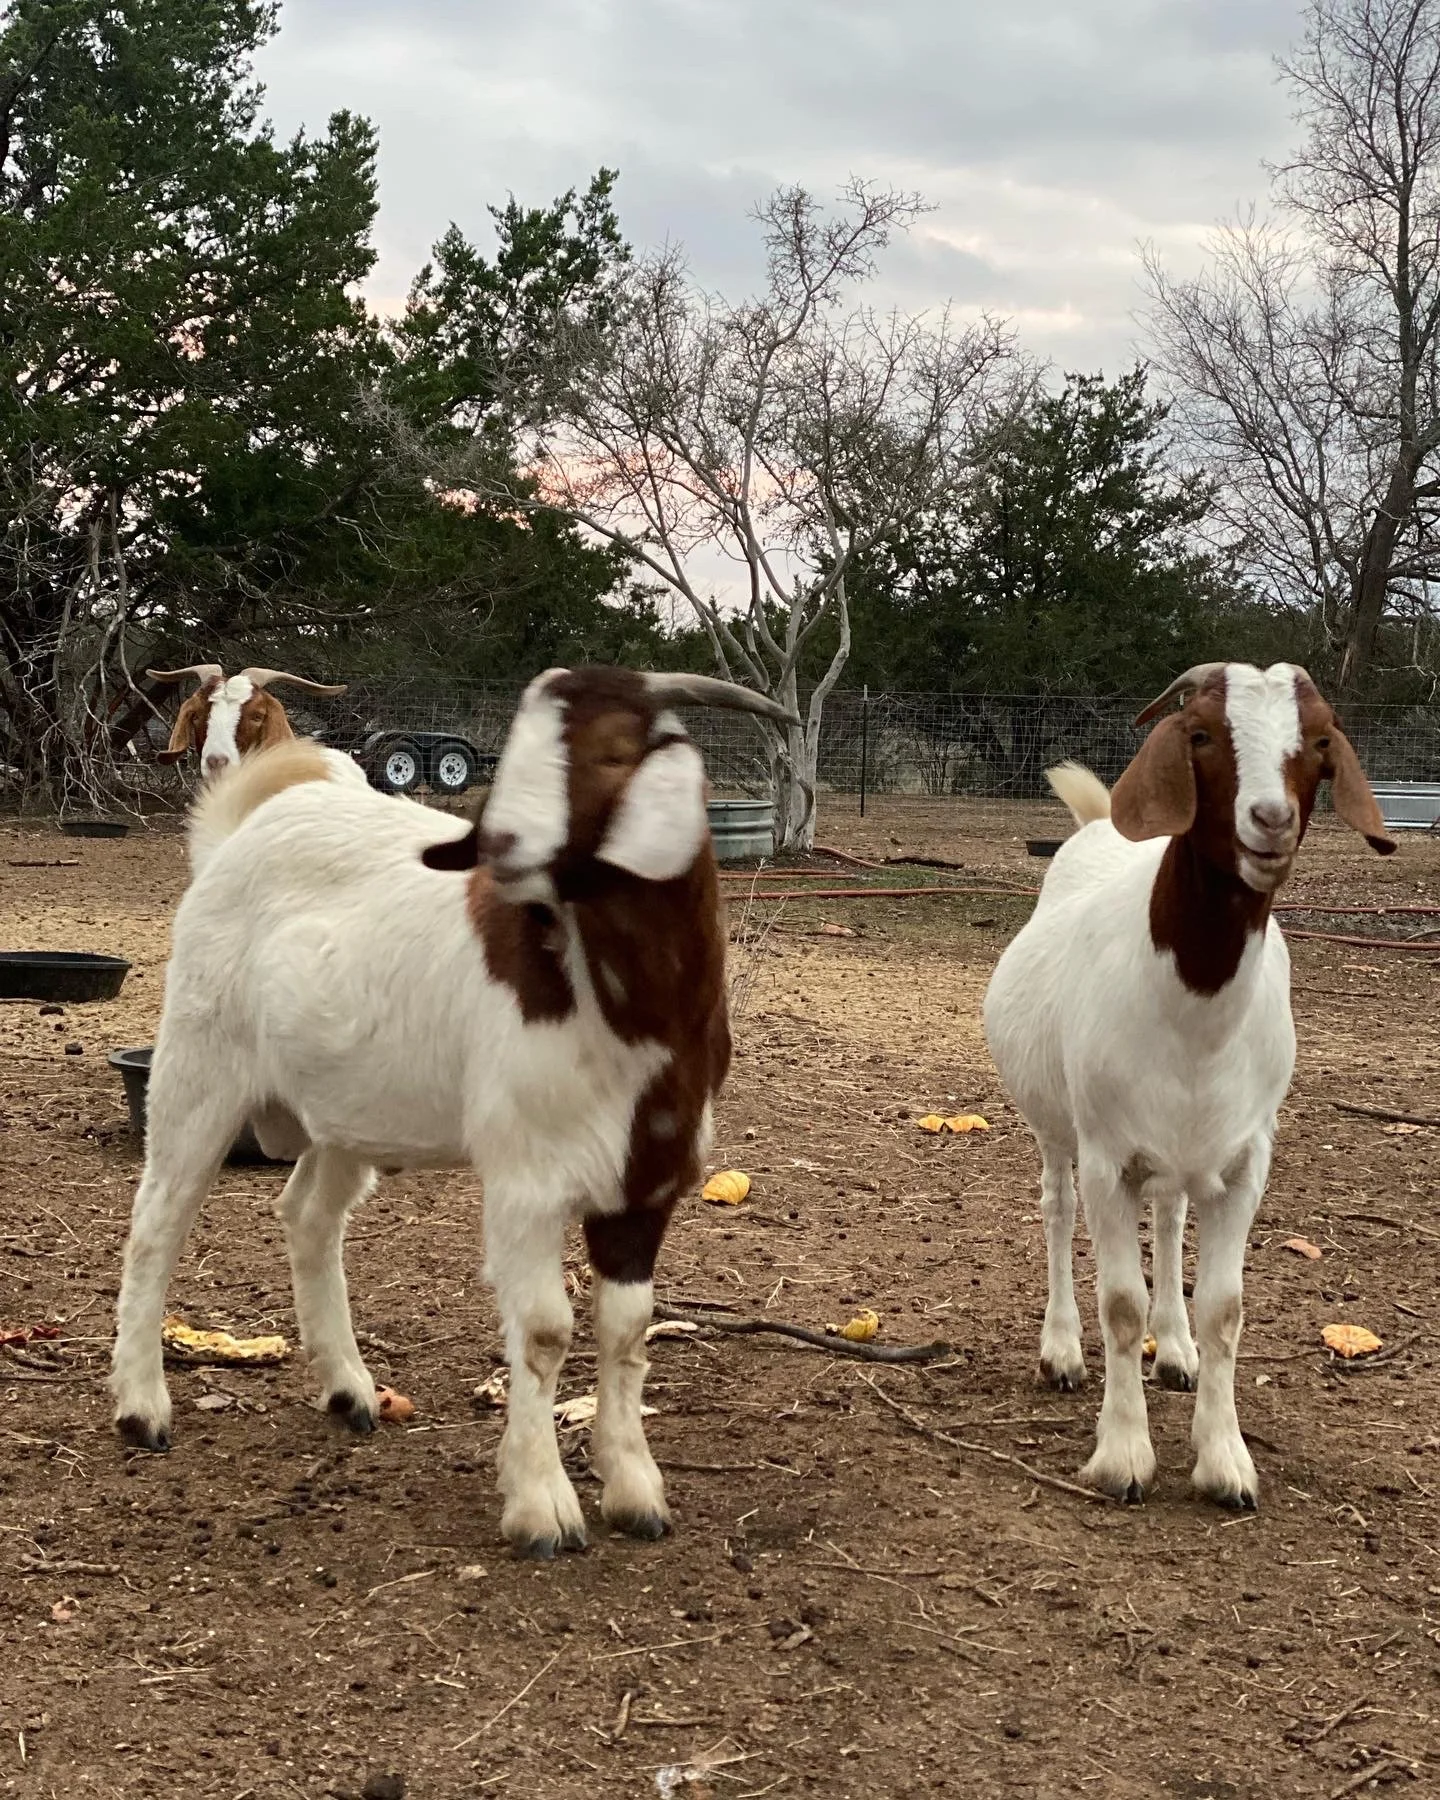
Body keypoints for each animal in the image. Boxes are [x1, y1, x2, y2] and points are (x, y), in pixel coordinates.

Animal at [982, 662, 1394, 1509]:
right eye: (1200, 734)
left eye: (1319, 742)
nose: (1269, 820)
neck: (1193, 1008)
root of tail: (1099, 827)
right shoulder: (1108, 1157)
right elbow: (1118, 1302)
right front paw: (1122, 1456)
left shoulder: (1244, 1164)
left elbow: (1225, 1308)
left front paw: (1225, 1460)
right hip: (1056, 1125)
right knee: (1056, 1208)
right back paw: (1061, 1352)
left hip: (1179, 1151)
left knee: (1170, 1219)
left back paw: (1172, 1348)